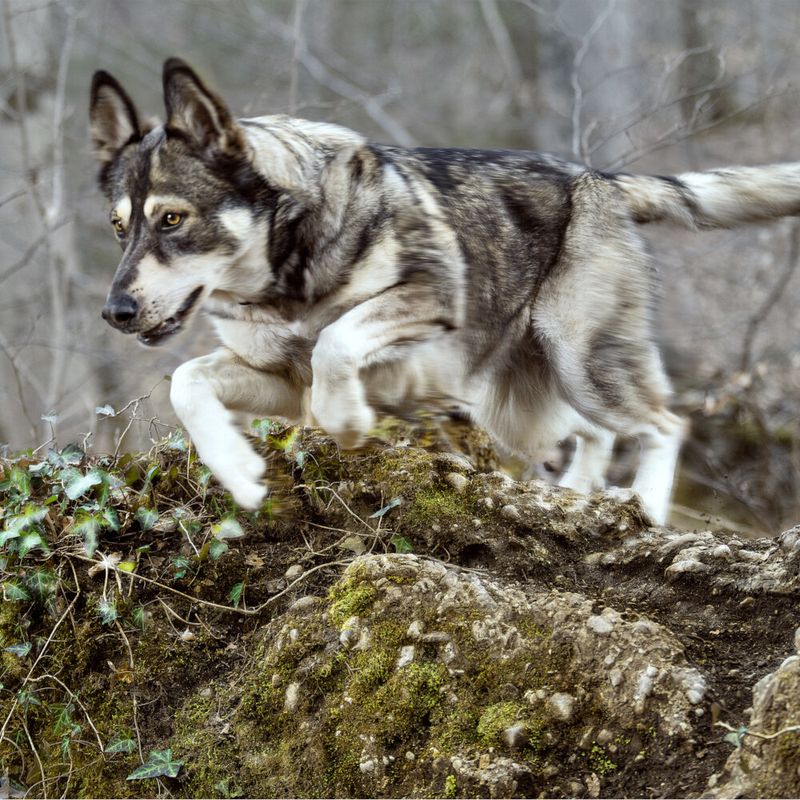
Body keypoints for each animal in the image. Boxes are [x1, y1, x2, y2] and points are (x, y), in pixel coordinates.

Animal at [89, 58, 800, 525]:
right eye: (119, 227)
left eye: (172, 219)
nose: (115, 312)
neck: (286, 272)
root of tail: (601, 178)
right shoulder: (279, 381)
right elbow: (188, 383)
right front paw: (238, 473)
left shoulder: (427, 299)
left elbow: (335, 341)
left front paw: (346, 420)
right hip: (523, 404)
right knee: (593, 435)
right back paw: (575, 494)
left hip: (581, 360)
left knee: (664, 424)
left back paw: (645, 506)